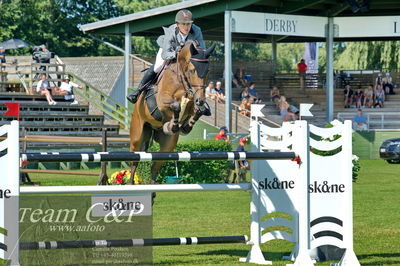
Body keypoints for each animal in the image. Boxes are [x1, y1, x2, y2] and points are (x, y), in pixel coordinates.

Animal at [129, 40, 216, 184]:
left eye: (208, 70)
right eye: (192, 70)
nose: (200, 100)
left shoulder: (192, 104)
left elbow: (200, 111)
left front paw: (185, 127)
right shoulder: (162, 101)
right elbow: (176, 106)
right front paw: (174, 126)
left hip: (167, 145)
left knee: (154, 167)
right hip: (136, 137)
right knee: (134, 163)